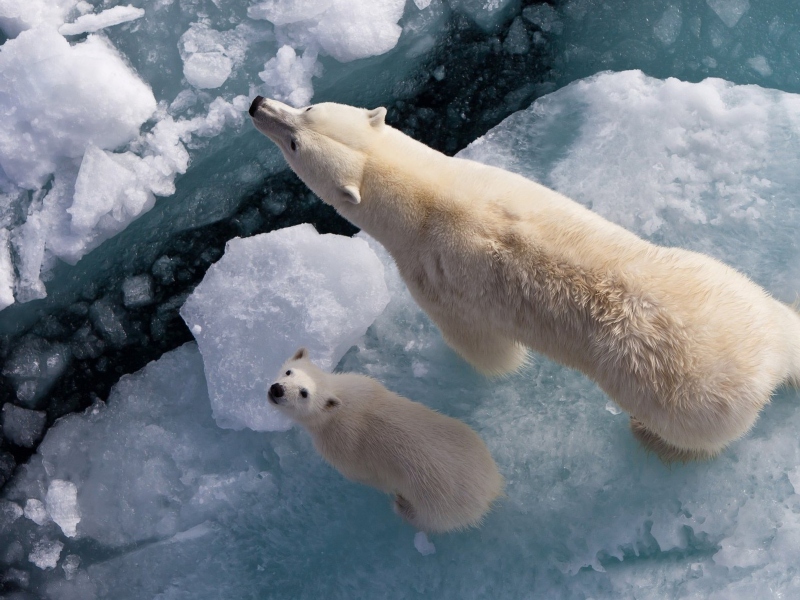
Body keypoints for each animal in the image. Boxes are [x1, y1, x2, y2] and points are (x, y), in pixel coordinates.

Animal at [250, 96, 800, 462]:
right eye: (307, 108)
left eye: (295, 139)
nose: (258, 104)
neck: (427, 198)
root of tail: (763, 365)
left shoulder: (434, 279)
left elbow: (485, 350)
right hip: (728, 284)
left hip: (684, 397)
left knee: (694, 434)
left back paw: (649, 436)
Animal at [272, 346, 504, 536]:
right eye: (289, 371)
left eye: (304, 393)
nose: (277, 389)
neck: (341, 403)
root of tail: (491, 490)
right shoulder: (362, 382)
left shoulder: (341, 448)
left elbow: (366, 477)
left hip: (438, 504)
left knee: (429, 520)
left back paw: (401, 506)